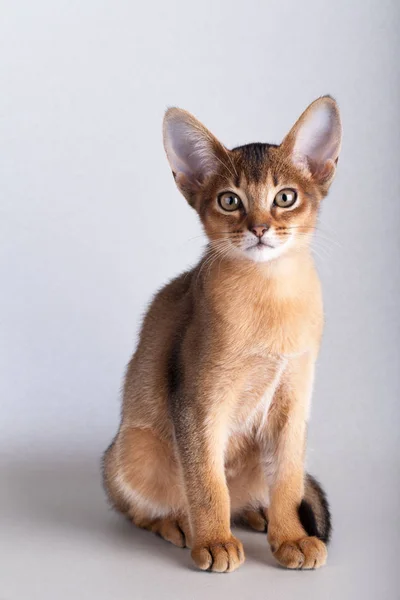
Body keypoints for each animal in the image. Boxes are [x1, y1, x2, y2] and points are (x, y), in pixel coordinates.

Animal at [102, 96, 340, 576]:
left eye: (285, 197)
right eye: (230, 201)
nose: (259, 228)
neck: (271, 295)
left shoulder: (293, 401)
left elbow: (288, 480)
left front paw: (290, 537)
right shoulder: (197, 402)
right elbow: (207, 481)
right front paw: (213, 541)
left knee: (254, 490)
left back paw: (256, 512)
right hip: (133, 450)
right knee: (138, 508)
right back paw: (179, 523)